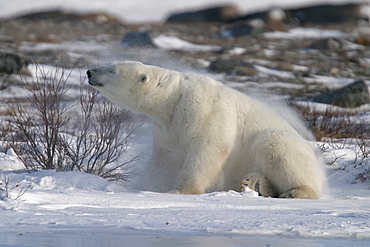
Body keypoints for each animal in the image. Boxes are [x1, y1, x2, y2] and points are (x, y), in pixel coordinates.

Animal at [87, 61, 326, 199]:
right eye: (110, 63)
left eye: (112, 70)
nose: (89, 71)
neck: (174, 98)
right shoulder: (168, 129)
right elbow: (163, 160)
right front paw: (144, 187)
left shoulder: (206, 109)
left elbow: (208, 149)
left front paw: (180, 191)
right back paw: (256, 184)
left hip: (281, 143)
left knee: (278, 148)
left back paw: (295, 192)